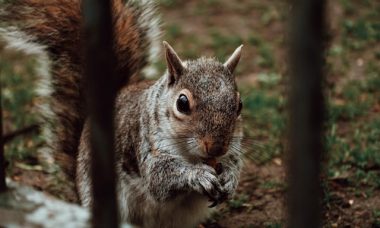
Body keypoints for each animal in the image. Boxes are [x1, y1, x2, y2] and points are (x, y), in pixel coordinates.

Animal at [0, 0, 243, 227]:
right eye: (182, 103)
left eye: (239, 104)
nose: (216, 147)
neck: (193, 156)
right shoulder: (145, 144)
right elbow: (160, 179)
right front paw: (199, 175)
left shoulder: (232, 151)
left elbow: (233, 166)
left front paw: (229, 179)